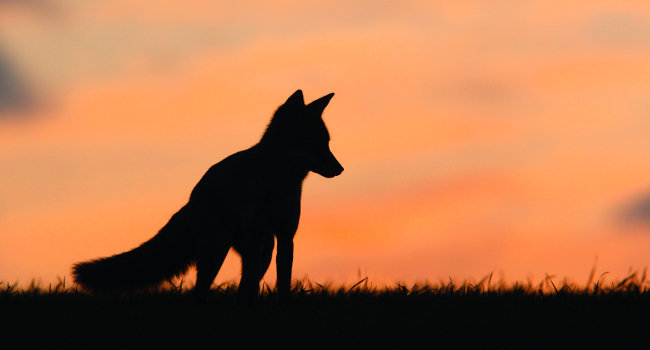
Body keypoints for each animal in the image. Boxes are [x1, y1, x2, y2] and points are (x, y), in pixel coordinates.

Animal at [71, 89, 344, 300]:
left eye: (328, 143)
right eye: (315, 143)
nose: (340, 169)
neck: (275, 185)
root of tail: (192, 198)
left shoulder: (286, 237)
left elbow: (282, 284)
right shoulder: (255, 236)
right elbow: (249, 288)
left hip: (262, 249)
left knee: (243, 282)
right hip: (218, 251)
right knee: (204, 290)